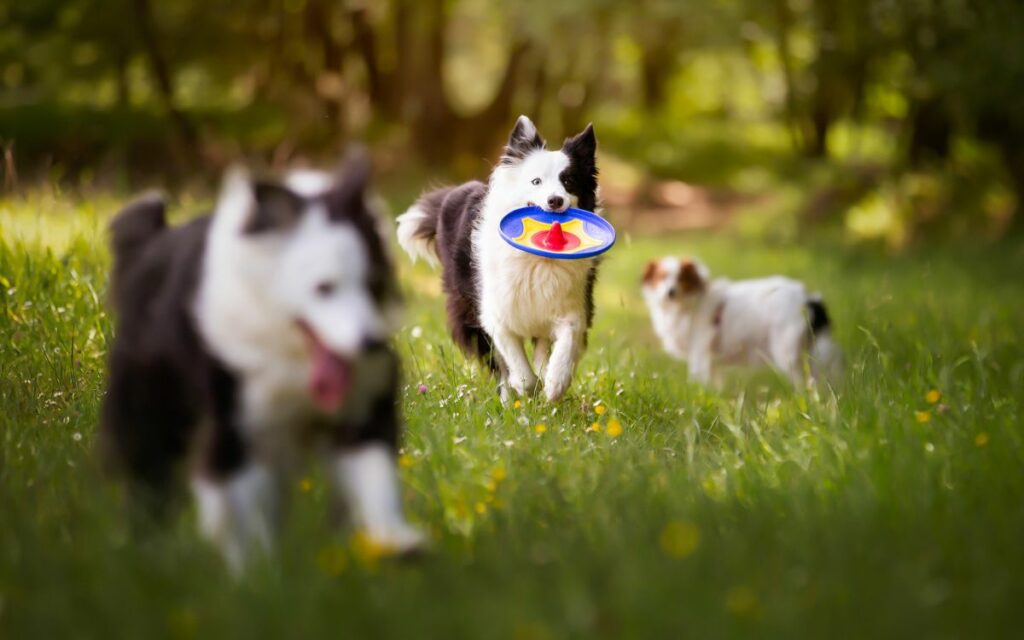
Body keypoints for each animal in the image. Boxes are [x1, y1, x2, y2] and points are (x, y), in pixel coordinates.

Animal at [101, 153, 421, 569]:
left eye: (372, 282)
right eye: (324, 288)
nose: (369, 343)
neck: (291, 353)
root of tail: (149, 245)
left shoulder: (361, 407)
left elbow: (375, 477)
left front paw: (396, 542)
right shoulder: (234, 424)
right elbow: (241, 516)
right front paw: (259, 576)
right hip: (153, 410)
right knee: (149, 478)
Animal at [391, 116, 598, 399]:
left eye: (569, 181)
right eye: (536, 182)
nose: (555, 201)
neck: (538, 261)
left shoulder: (572, 306)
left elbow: (566, 342)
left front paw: (556, 383)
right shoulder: (495, 314)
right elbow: (518, 369)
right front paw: (524, 389)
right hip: (465, 308)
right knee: (496, 362)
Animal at [638, 254, 839, 385]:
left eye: (681, 278)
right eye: (661, 277)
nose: (670, 292)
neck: (688, 304)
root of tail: (808, 298)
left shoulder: (699, 353)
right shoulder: (712, 363)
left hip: (786, 353)